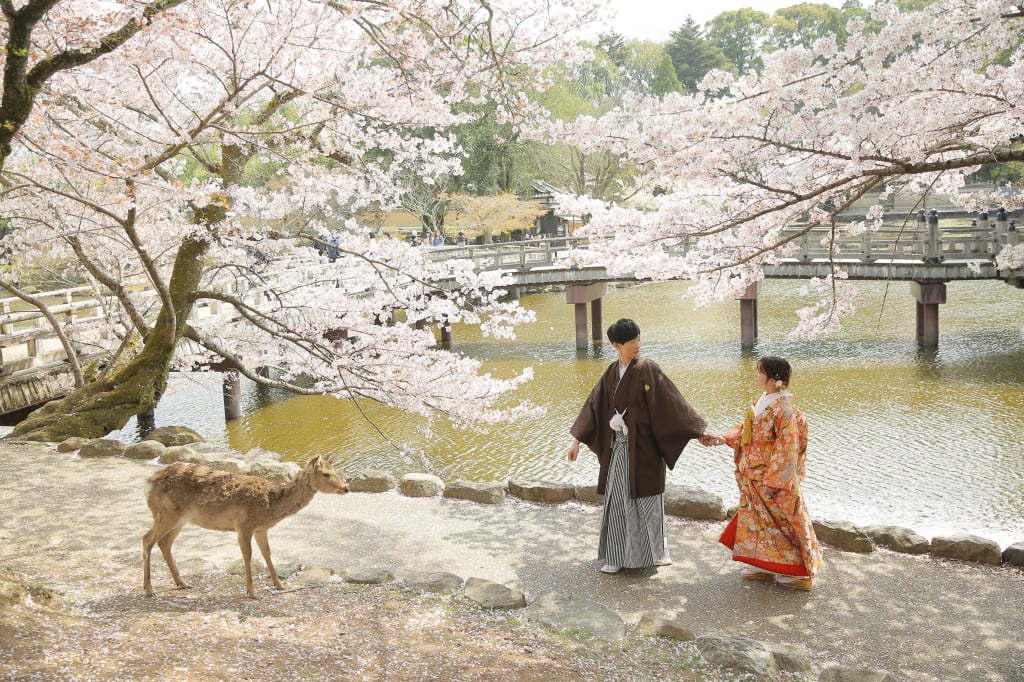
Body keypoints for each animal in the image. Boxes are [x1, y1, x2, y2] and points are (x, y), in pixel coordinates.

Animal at [140, 454, 350, 598]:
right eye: (325, 473)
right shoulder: (243, 525)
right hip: (165, 513)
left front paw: (280, 585)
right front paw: (252, 592)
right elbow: (247, 555)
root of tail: (148, 483)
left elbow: (267, 552)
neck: (270, 506)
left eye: (336, 470)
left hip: (180, 518)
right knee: (147, 539)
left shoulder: (261, 529)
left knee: (164, 543)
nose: (346, 487)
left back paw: (182, 583)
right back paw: (150, 590)